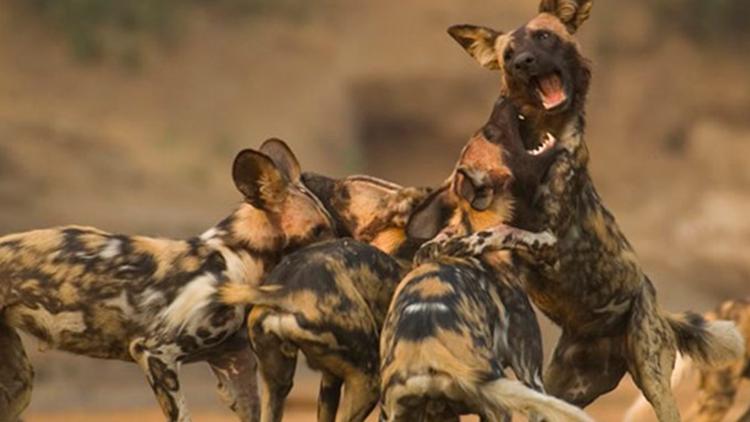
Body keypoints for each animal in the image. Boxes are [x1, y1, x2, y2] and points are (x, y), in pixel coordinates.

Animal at [0, 139, 334, 422]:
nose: (342, 246)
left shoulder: (235, 365)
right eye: (318, 230)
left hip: (20, 384)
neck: (239, 258)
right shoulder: (156, 353)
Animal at [219, 174, 428, 422]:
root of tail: (287, 292)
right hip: (368, 380)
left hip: (278, 386)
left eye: (343, 193)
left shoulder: (330, 381)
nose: (304, 176)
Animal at [378, 99, 596, 422]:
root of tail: (428, 357)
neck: (472, 222)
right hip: (503, 399)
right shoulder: (529, 370)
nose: (503, 101)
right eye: (492, 134)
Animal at [424, 1, 748, 420]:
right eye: (508, 55)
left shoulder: (544, 241)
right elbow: (461, 230)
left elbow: (498, 232)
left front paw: (464, 243)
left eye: (544, 37)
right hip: (561, 392)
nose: (524, 63)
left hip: (653, 380)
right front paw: (438, 243)